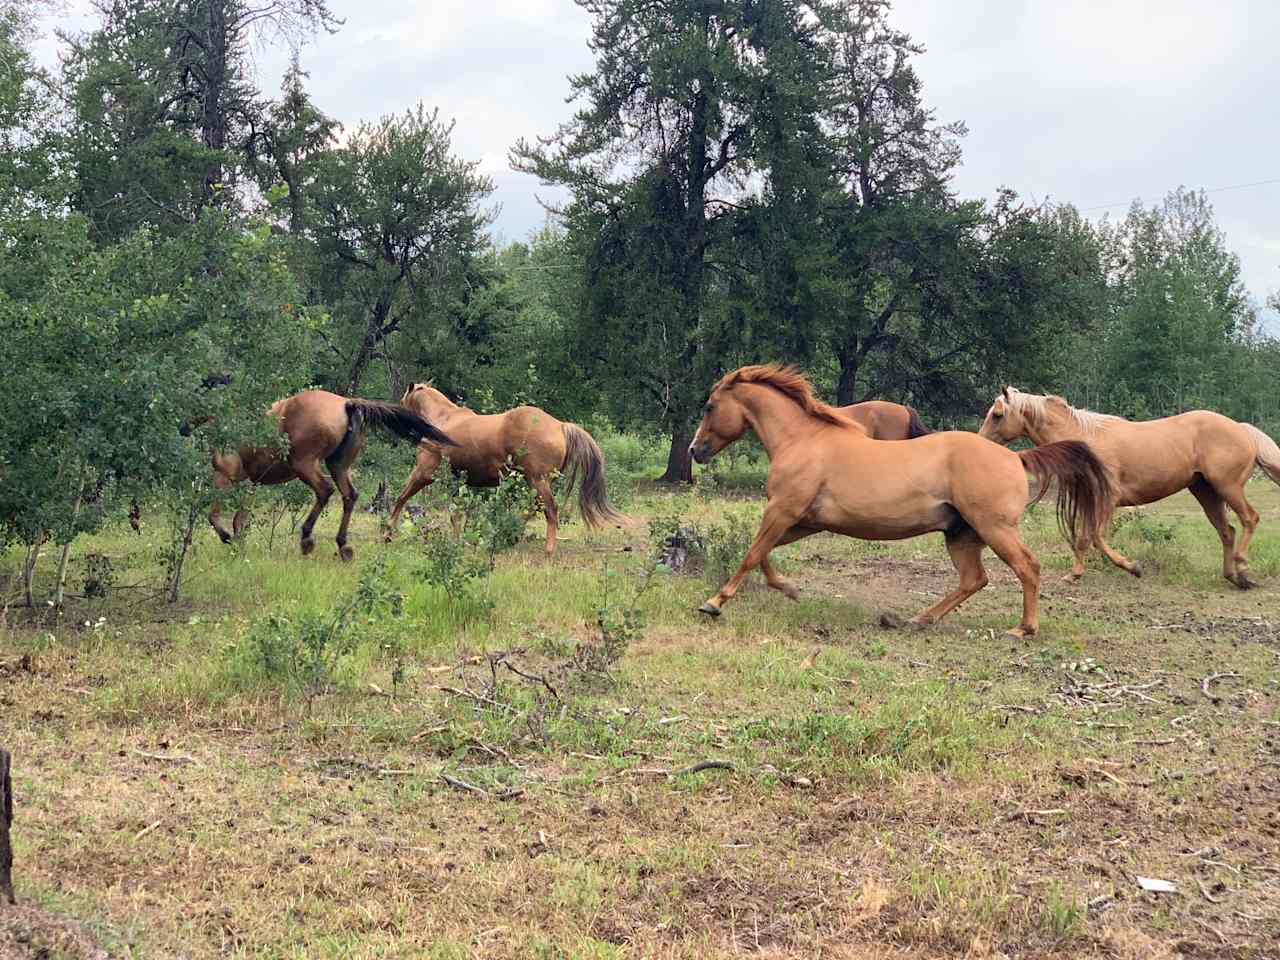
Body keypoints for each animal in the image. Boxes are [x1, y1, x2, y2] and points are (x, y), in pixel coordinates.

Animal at [204, 389, 455, 560]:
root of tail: (348, 404)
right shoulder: (252, 483)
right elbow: (240, 518)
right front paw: (238, 542)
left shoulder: (225, 476)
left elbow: (214, 515)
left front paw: (228, 538)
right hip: (337, 466)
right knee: (349, 495)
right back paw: (343, 546)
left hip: (304, 464)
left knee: (325, 491)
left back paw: (307, 539)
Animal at [386, 384, 632, 555]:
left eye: (402, 402)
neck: (443, 420)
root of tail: (560, 425)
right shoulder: (457, 482)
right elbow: (456, 514)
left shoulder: (423, 474)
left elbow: (400, 498)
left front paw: (387, 532)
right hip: (539, 481)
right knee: (536, 508)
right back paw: (510, 535)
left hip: (537, 479)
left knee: (550, 511)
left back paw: (546, 549)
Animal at [691, 363, 1111, 634]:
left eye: (710, 406)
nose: (696, 450)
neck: (803, 440)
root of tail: (1016, 456)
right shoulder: (803, 521)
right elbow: (764, 554)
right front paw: (790, 589)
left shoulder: (783, 510)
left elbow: (752, 554)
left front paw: (714, 603)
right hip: (961, 534)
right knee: (974, 579)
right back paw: (917, 620)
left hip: (994, 528)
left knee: (1027, 567)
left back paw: (1024, 628)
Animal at [977, 386, 1280, 591]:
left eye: (998, 415)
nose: (981, 442)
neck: (1086, 441)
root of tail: (1241, 428)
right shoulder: (1089, 501)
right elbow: (1083, 539)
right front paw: (1074, 574)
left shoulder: (1107, 499)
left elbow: (1097, 538)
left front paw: (1133, 567)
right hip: (1206, 491)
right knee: (1227, 531)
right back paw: (1234, 577)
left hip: (1228, 487)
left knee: (1249, 519)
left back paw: (1243, 569)